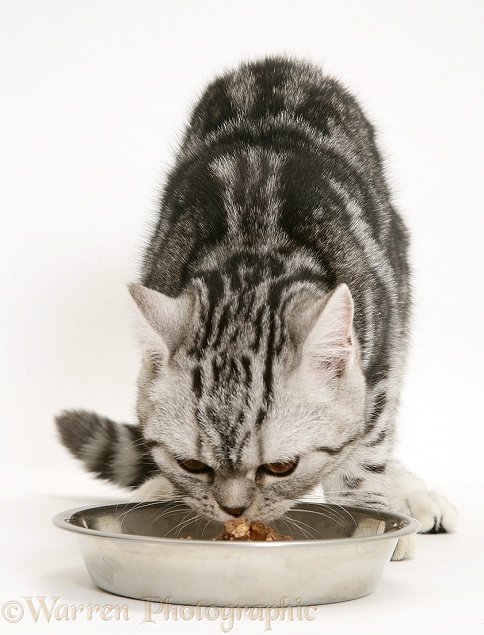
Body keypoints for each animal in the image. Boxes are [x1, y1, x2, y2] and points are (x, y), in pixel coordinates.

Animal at [56, 57, 454, 560]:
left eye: (281, 467)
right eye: (192, 464)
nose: (234, 510)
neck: (253, 253)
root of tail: (276, 63)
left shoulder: (379, 342)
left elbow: (365, 446)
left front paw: (371, 510)